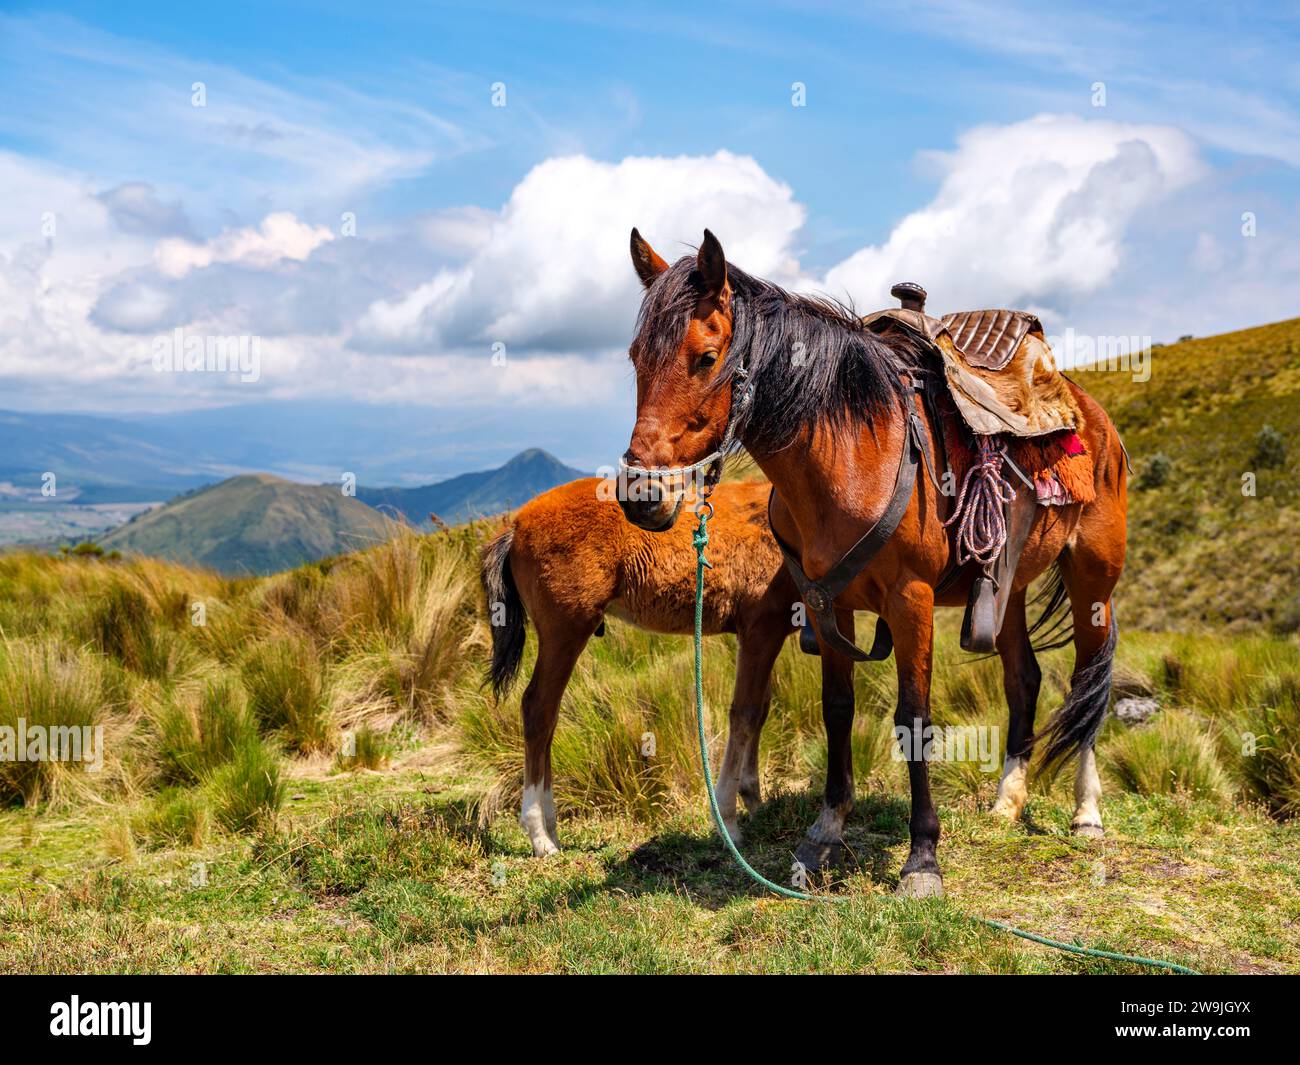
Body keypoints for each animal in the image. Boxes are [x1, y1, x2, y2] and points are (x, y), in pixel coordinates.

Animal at [483, 478, 795, 863]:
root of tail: (516, 525)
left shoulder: (764, 636)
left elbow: (761, 710)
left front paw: (754, 800)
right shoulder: (760, 630)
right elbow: (746, 714)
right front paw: (730, 824)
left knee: (547, 717)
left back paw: (550, 827)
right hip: (565, 630)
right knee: (538, 709)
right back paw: (539, 834)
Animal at [618, 228, 1128, 894]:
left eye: (705, 357)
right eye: (635, 358)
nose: (641, 495)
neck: (852, 452)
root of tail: (1089, 412)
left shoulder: (910, 601)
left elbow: (914, 719)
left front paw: (923, 857)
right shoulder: (825, 603)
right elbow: (838, 711)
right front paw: (823, 834)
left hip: (1093, 581)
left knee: (1089, 682)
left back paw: (1086, 813)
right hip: (1007, 587)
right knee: (1024, 679)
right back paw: (1006, 801)